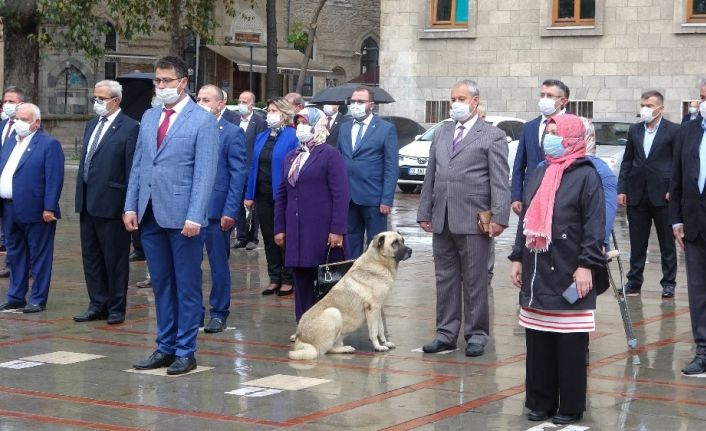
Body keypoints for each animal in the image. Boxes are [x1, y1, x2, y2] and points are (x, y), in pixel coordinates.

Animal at [288, 233, 412, 362]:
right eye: (394, 243)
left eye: (402, 241)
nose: (410, 251)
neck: (378, 261)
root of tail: (300, 338)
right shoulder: (372, 309)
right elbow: (374, 332)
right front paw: (378, 347)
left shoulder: (377, 310)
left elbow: (381, 329)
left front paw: (385, 343)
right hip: (333, 313)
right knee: (325, 350)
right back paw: (345, 349)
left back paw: (346, 348)